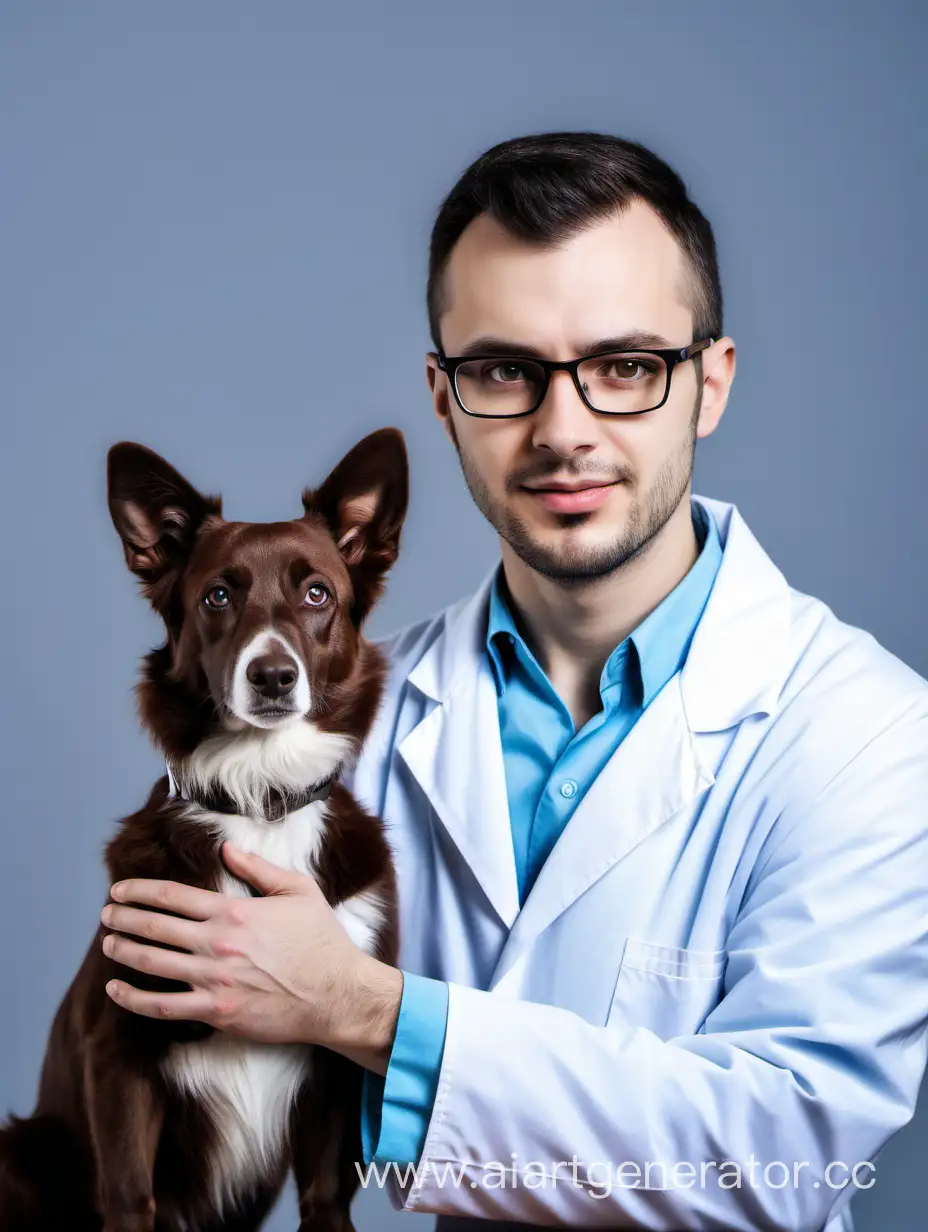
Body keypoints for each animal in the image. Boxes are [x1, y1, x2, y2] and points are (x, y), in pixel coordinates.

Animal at [0, 428, 404, 1227]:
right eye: (218, 595)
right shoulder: (119, 1047)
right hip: (22, 1152)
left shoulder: (338, 1054)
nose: (273, 675)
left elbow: (325, 1198)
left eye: (317, 593)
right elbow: (131, 1199)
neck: (258, 797)